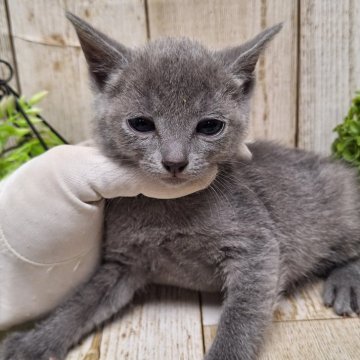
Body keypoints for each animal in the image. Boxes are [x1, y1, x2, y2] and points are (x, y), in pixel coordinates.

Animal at [0, 13, 360, 360]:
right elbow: (80, 304)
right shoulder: (123, 262)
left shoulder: (258, 249)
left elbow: (241, 317)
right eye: (141, 124)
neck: (169, 210)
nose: (175, 161)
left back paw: (347, 283)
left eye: (210, 126)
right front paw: (35, 341)